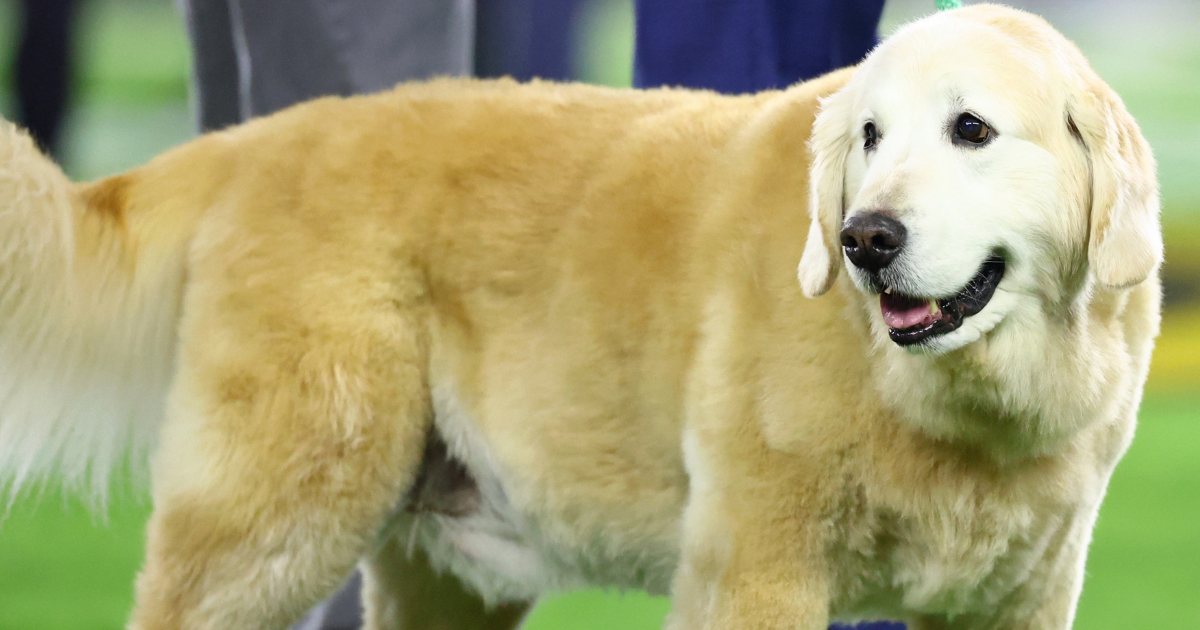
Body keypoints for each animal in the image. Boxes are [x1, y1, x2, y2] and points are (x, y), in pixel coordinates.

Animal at [0, 4, 1161, 628]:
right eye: (870, 136)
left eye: (972, 130)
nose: (862, 239)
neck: (958, 407)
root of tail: (260, 138)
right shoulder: (757, 573)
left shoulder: (1022, 594)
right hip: (271, 526)